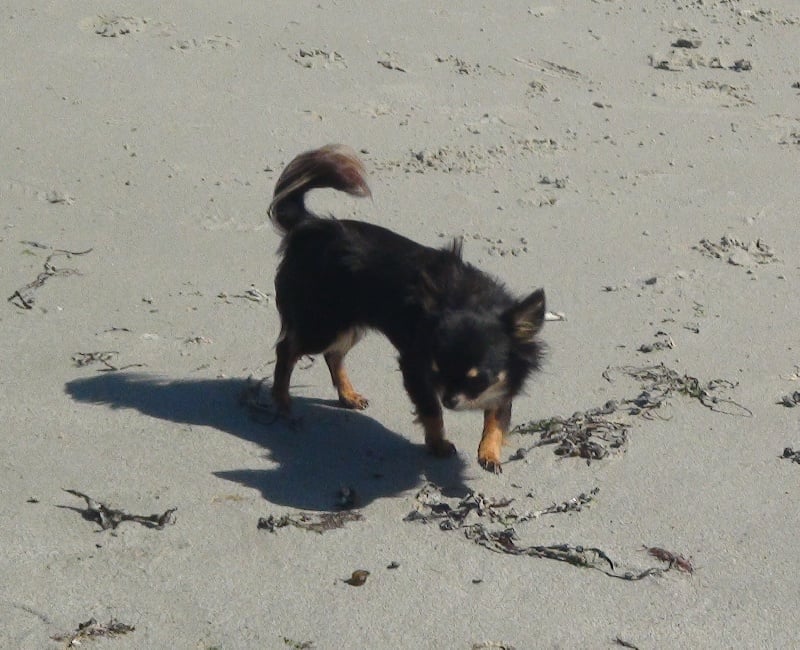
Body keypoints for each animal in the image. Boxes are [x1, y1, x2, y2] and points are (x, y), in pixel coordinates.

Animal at [268, 144, 545, 472]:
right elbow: (431, 411)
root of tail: (312, 226)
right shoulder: (416, 368)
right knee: (288, 349)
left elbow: (497, 417)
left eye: (478, 379)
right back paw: (281, 401)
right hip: (323, 324)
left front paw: (489, 452)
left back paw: (348, 395)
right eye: (438, 372)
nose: (450, 400)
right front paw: (438, 443)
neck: (474, 300)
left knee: (333, 355)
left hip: (349, 326)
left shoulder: (505, 380)